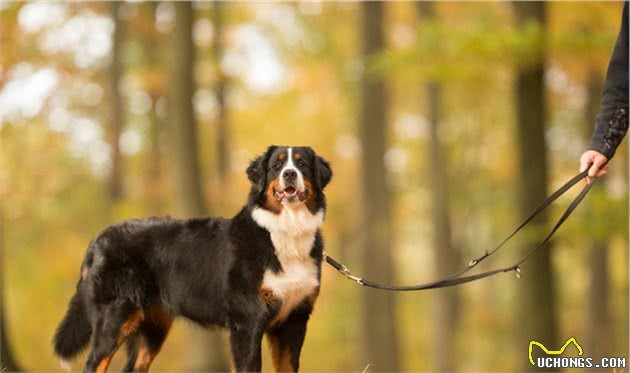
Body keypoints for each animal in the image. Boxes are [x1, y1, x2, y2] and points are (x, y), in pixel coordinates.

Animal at [53, 145, 336, 372]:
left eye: (301, 164)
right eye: (277, 165)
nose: (289, 174)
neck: (285, 233)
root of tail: (98, 239)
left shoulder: (294, 320)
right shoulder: (248, 320)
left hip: (151, 328)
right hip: (113, 319)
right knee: (94, 364)